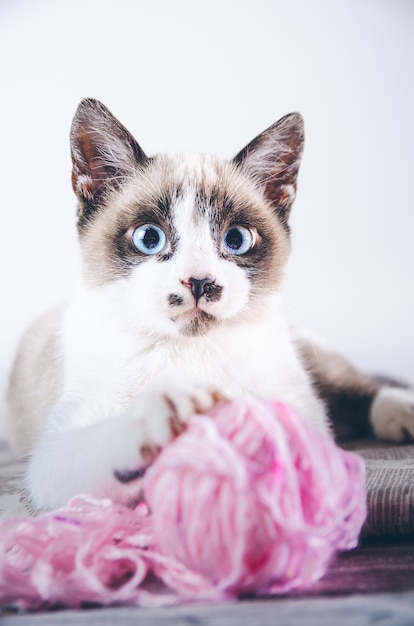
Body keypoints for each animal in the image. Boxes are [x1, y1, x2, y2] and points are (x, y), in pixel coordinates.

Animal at [6, 97, 414, 508]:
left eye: (236, 239)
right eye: (149, 237)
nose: (199, 282)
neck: (190, 352)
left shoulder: (303, 409)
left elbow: (286, 426)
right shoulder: (53, 457)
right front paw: (165, 418)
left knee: (357, 386)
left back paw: (403, 412)